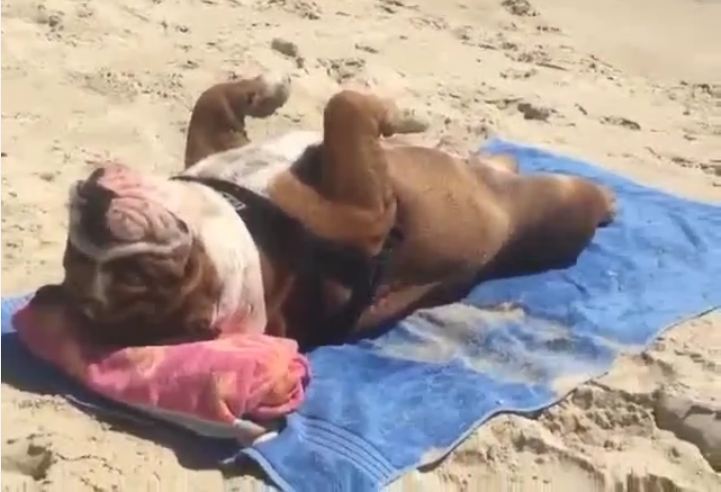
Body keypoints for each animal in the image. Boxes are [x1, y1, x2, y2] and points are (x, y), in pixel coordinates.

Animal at [59, 74, 616, 350]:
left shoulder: (214, 144)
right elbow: (343, 107)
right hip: (557, 204)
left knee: (495, 161)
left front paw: (266, 90)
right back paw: (608, 201)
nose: (92, 213)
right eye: (143, 274)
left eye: (73, 255)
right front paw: (404, 116)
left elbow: (212, 100)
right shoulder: (365, 211)